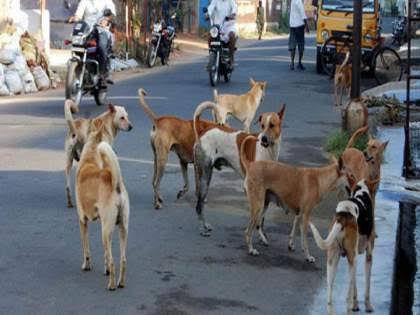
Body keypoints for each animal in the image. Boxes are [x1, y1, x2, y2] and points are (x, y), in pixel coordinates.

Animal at [193, 101, 286, 237]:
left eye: (272, 125)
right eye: (262, 126)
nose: (263, 139)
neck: (268, 151)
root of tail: (203, 131)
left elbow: (262, 218)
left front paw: (262, 235)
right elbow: (258, 217)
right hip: (205, 176)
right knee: (199, 205)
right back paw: (203, 228)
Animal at [308, 177, 380, 314]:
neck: (361, 193)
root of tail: (343, 216)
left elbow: (355, 287)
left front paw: (356, 305)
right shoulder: (368, 256)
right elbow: (366, 287)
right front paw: (367, 306)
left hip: (332, 261)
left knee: (330, 299)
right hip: (353, 259)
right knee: (347, 298)